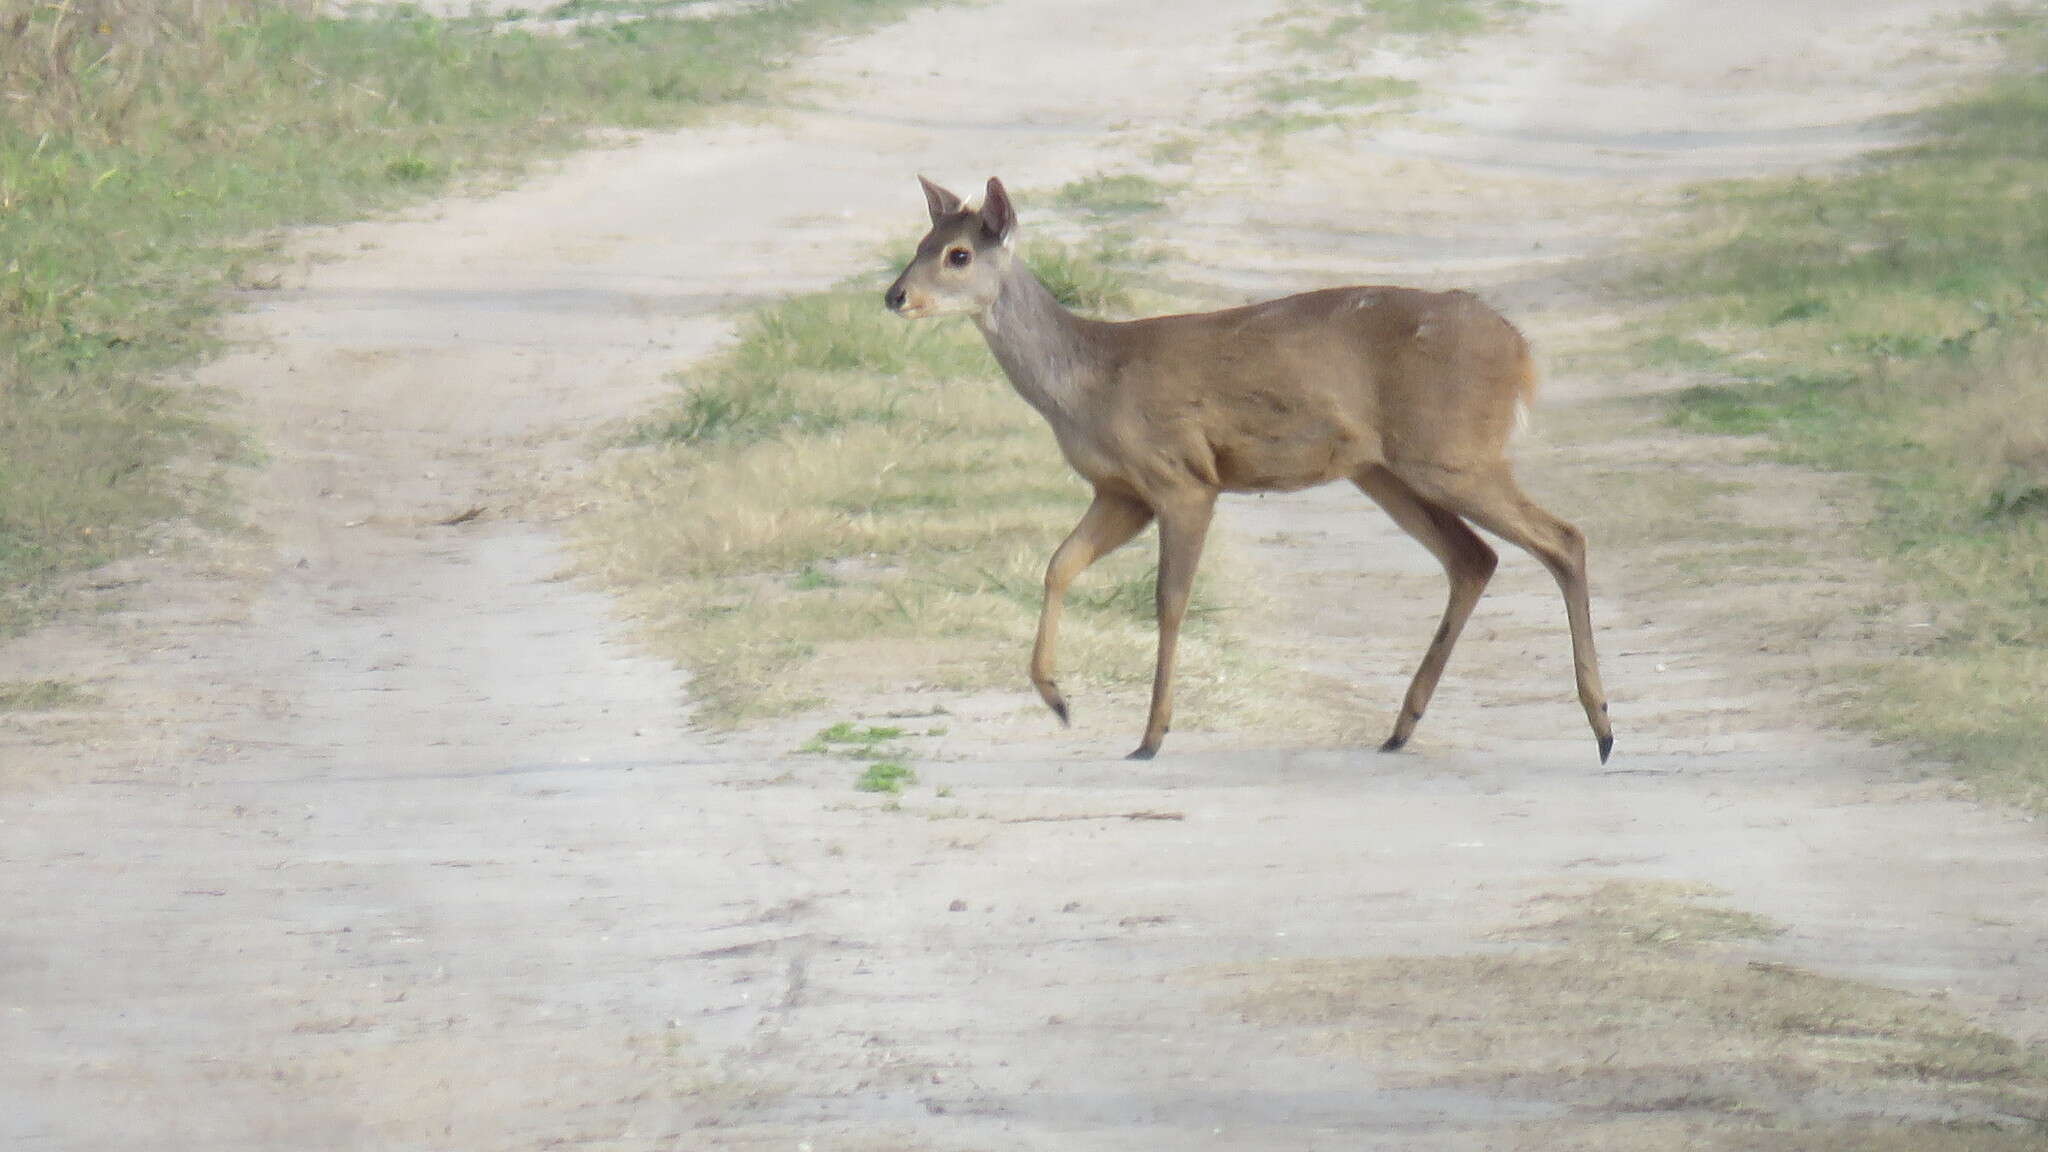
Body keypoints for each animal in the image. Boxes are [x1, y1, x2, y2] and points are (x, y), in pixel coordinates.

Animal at [884, 175, 1613, 762]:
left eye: (958, 254)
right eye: (922, 241)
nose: (894, 296)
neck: (1089, 381)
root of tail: (1520, 351)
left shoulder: (1182, 478)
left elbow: (1169, 601)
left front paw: (1151, 735)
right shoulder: (1121, 491)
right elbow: (1059, 564)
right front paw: (1056, 698)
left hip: (1453, 451)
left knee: (1563, 538)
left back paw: (1602, 726)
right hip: (1385, 469)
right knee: (1473, 557)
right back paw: (1402, 728)